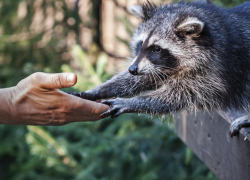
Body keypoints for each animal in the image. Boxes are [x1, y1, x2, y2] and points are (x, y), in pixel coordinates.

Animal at [69, 0, 250, 137]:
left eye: (156, 48)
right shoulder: (157, 65)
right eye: (141, 43)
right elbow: (145, 77)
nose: (132, 69)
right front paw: (100, 89)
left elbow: (180, 94)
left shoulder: (216, 70)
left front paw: (133, 102)